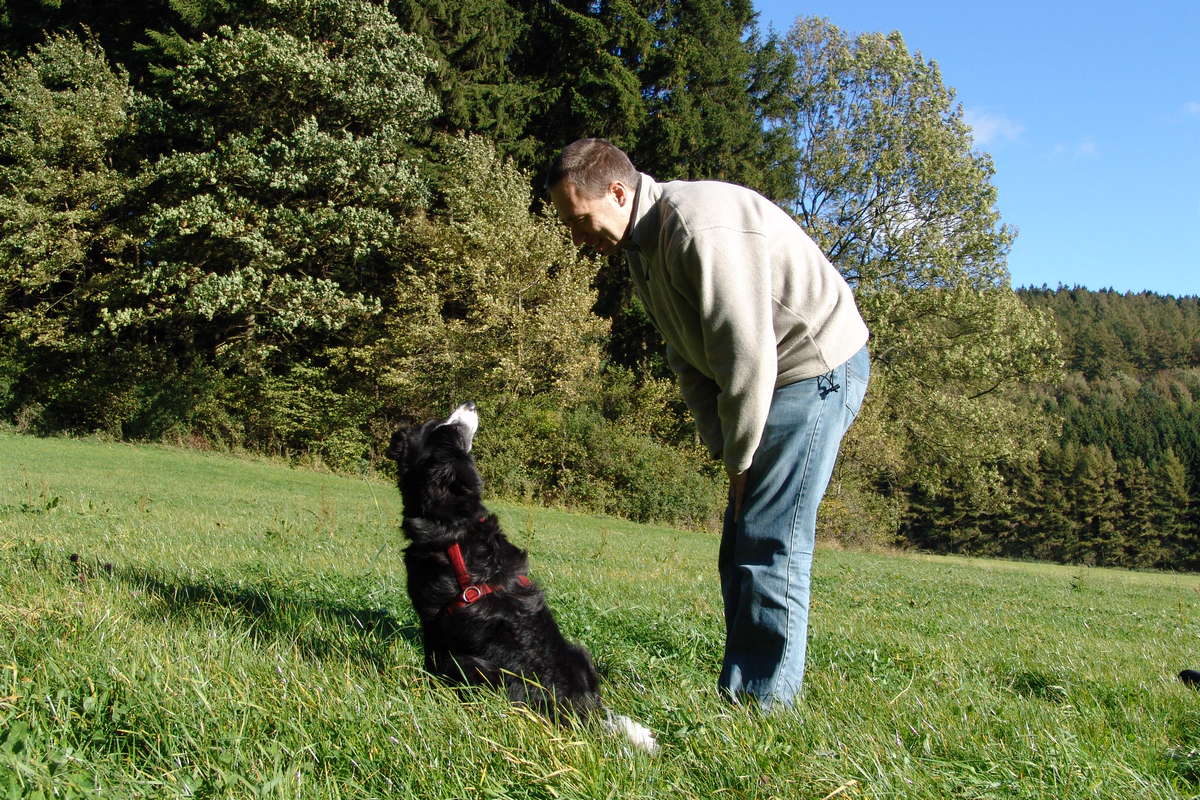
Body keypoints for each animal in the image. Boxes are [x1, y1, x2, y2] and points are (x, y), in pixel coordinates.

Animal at [386, 402, 657, 753]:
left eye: (446, 427)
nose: (471, 404)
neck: (456, 524)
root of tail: (581, 710)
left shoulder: (433, 623)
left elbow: (429, 663)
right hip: (579, 652)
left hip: (470, 665)